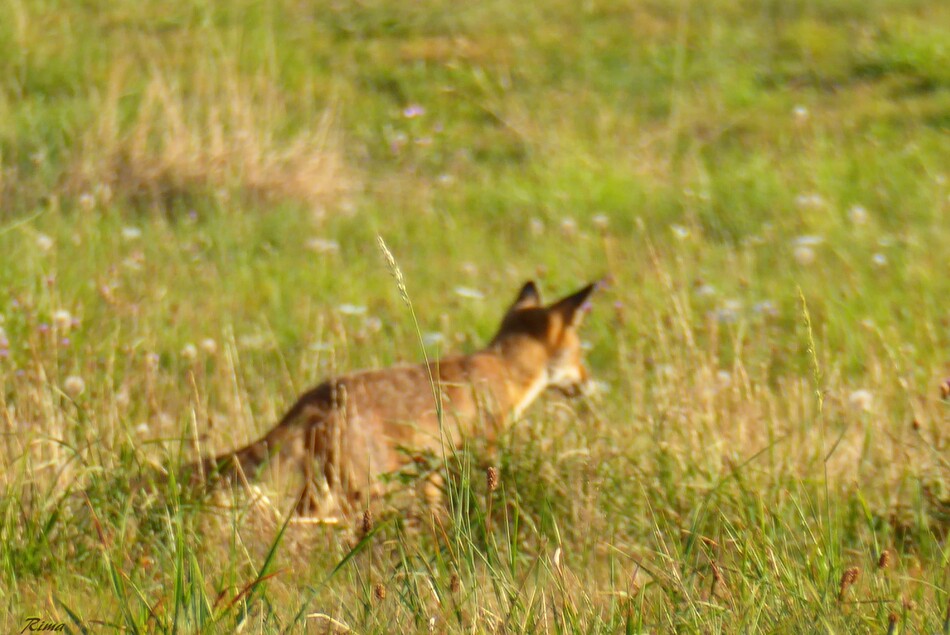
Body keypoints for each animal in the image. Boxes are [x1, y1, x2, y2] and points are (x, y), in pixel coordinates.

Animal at [190, 282, 600, 516]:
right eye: (581, 353)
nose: (586, 382)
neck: (502, 367)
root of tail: (318, 397)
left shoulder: (431, 467)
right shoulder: (482, 446)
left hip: (326, 484)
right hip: (362, 489)